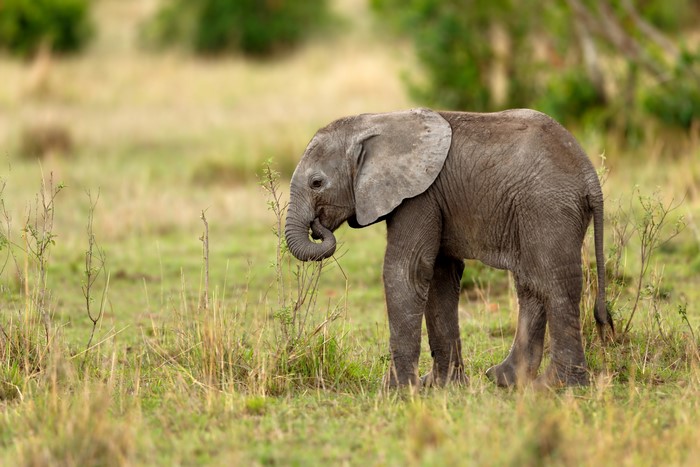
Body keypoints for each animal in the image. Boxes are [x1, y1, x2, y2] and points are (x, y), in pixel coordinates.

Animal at [284, 108, 614, 389]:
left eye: (316, 183)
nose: (318, 227)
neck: (376, 121)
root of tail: (590, 176)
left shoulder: (420, 196)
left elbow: (405, 271)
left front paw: (396, 390)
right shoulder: (432, 199)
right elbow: (440, 278)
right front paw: (442, 386)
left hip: (549, 207)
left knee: (555, 284)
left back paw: (556, 386)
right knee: (531, 284)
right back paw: (504, 379)